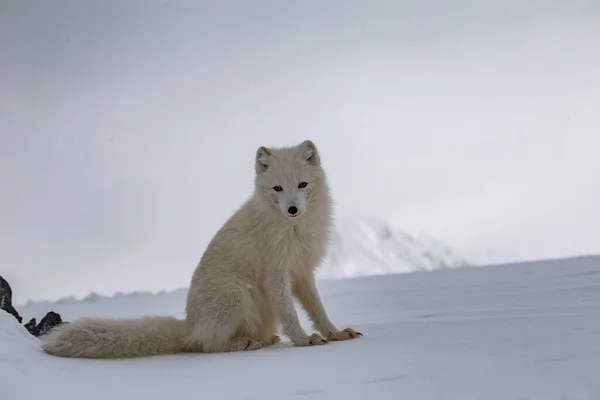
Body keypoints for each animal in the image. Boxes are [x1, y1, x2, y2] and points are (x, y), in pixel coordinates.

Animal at [43, 140, 360, 360]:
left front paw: (335, 333)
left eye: (303, 184)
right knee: (208, 345)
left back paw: (264, 339)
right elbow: (291, 315)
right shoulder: (276, 274)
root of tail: (189, 325)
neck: (293, 229)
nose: (293, 209)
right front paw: (304, 340)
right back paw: (243, 343)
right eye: (278, 189)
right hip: (235, 294)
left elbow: (318, 309)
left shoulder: (302, 271)